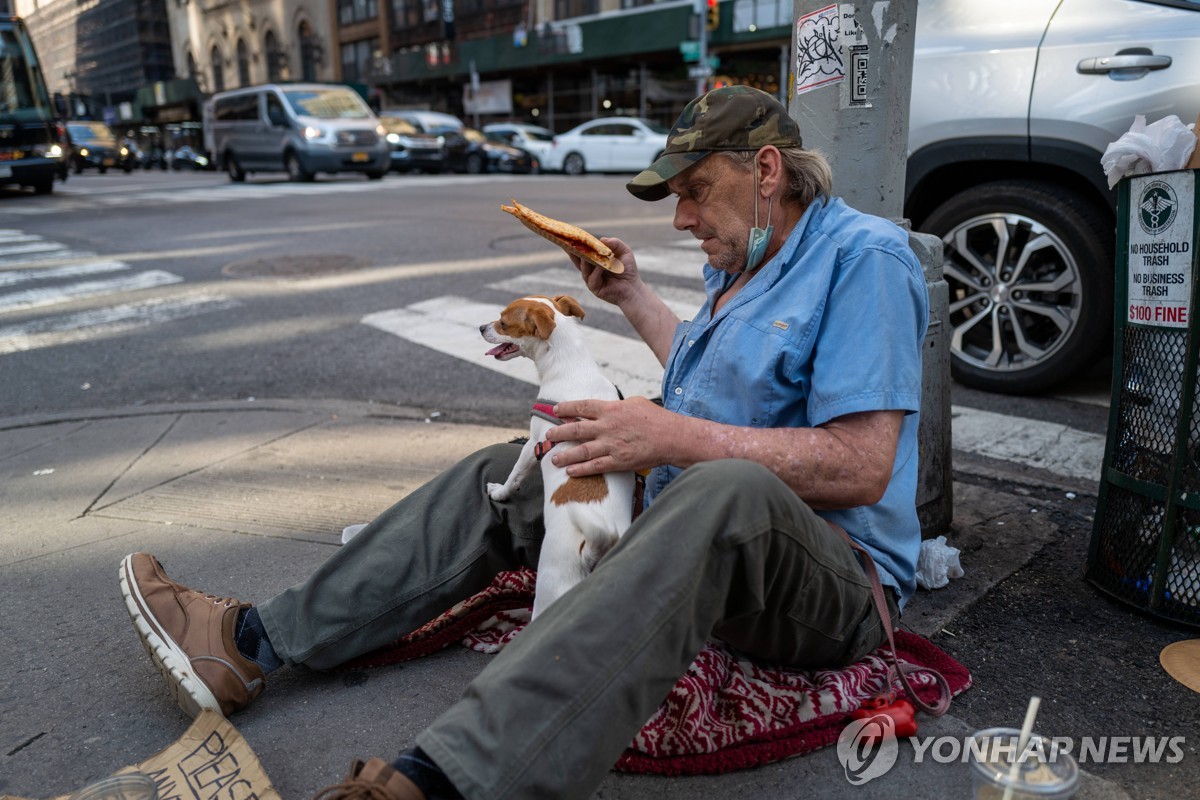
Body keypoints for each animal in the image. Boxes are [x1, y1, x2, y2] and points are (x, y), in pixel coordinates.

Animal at [482, 296, 643, 618]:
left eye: (503, 322)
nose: (481, 327)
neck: (571, 367)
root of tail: (591, 555)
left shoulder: (532, 445)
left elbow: (514, 476)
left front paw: (500, 492)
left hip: (548, 590)